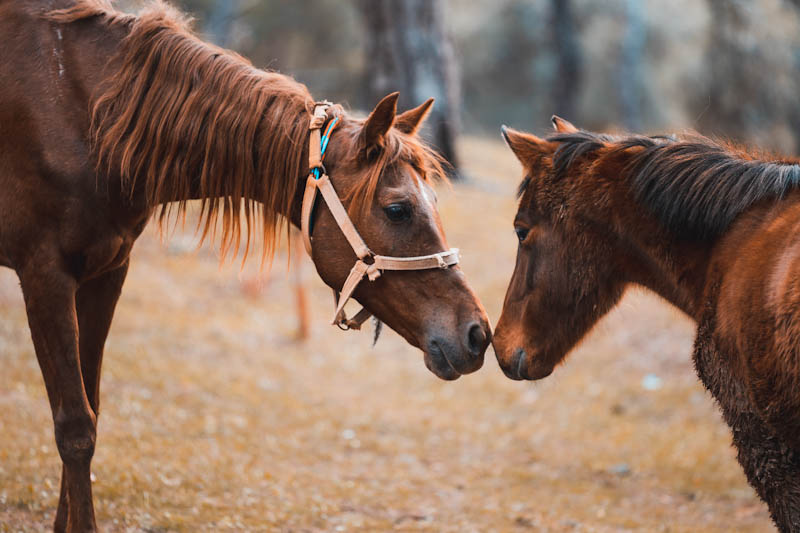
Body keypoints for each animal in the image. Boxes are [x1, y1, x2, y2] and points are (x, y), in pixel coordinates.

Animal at [0, 1, 491, 530]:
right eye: (398, 209)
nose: (477, 334)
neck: (86, 114)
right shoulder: (45, 276)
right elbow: (75, 427)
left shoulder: (106, 273)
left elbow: (89, 406)